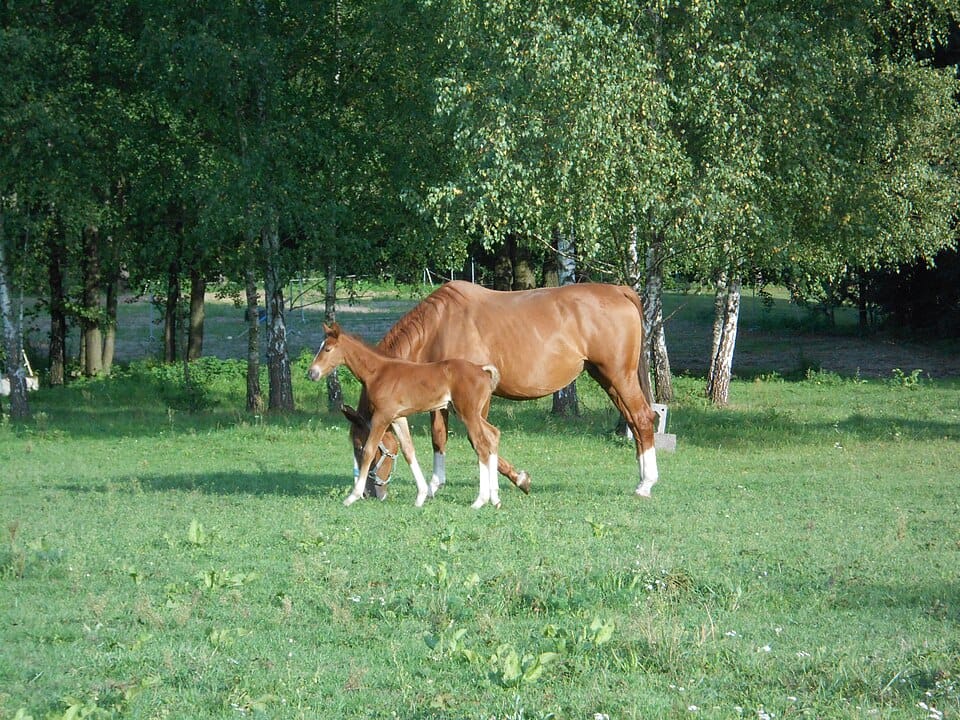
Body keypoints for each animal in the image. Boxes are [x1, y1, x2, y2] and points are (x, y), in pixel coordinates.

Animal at [308, 322, 505, 509]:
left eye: (327, 349)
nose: (312, 373)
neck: (377, 373)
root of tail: (482, 370)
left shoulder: (382, 416)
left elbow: (370, 450)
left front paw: (352, 497)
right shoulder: (398, 418)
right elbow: (408, 450)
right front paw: (421, 496)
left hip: (468, 414)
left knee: (481, 445)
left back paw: (480, 500)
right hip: (471, 414)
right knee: (493, 434)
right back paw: (495, 498)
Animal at [345, 280, 660, 501]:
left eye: (361, 446)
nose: (370, 492)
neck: (440, 326)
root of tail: (619, 291)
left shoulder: (474, 402)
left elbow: (480, 440)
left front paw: (516, 481)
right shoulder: (442, 398)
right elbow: (439, 437)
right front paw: (435, 485)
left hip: (619, 376)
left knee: (643, 419)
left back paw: (646, 484)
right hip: (608, 379)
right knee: (633, 421)